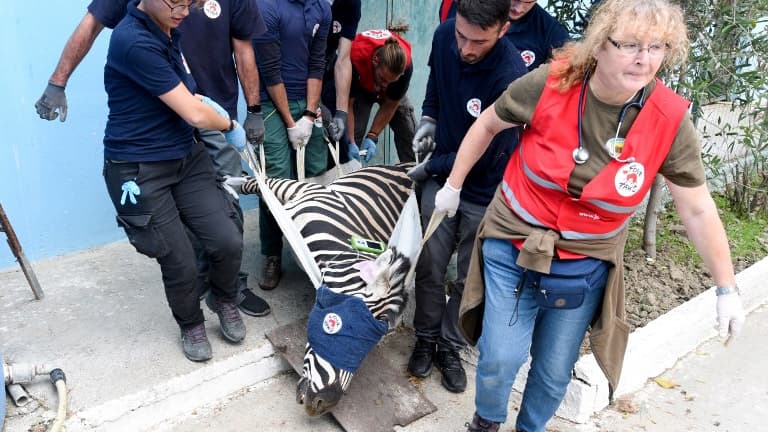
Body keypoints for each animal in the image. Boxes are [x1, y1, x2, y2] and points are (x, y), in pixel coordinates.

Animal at [241, 163, 416, 416]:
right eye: (341, 328)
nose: (324, 405)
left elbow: (258, 182)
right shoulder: (302, 190)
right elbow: (254, 182)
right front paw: (230, 178)